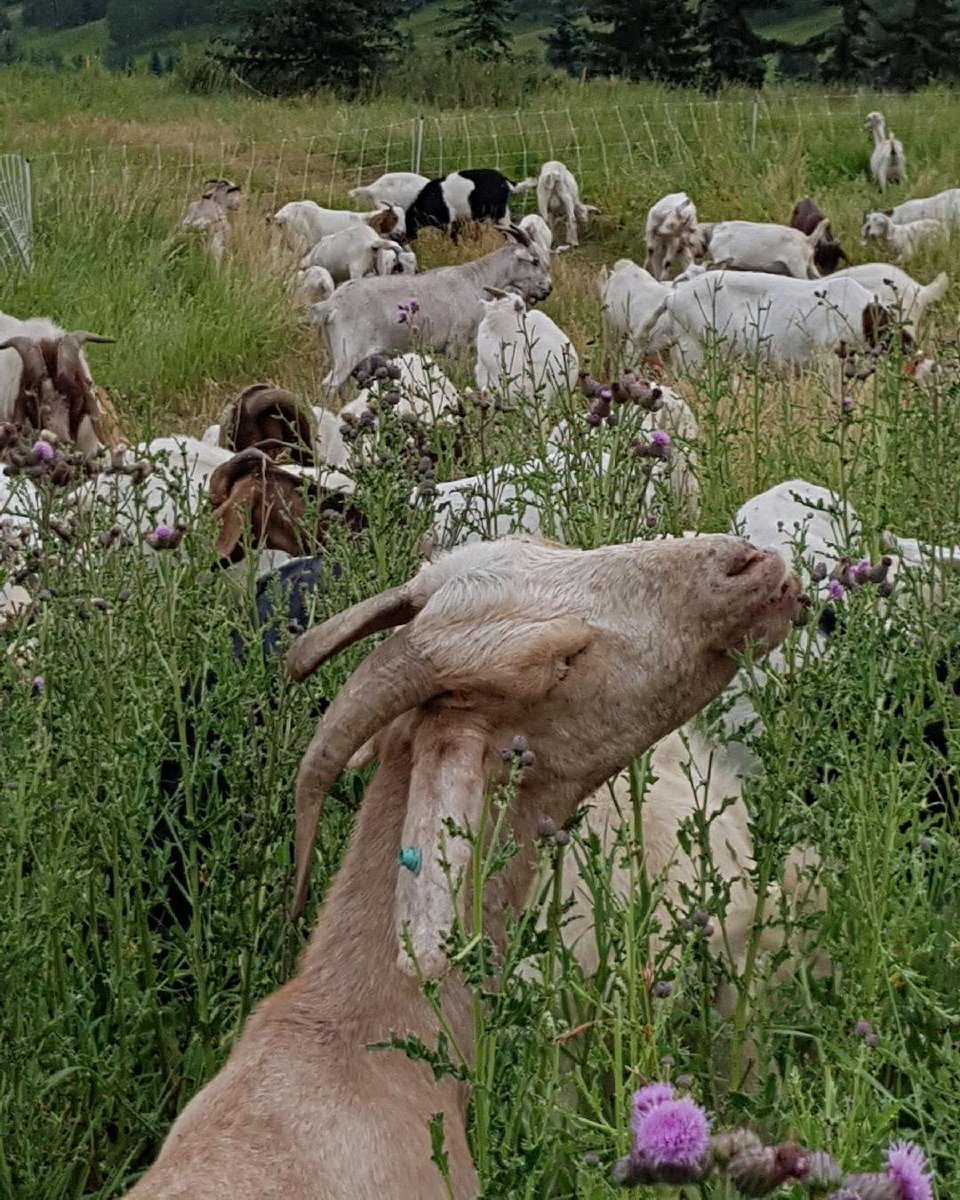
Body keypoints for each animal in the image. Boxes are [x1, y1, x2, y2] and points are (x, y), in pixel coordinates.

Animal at [309, 225, 551, 392]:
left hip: (336, 350)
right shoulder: (456, 343)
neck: (475, 280)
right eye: (535, 261)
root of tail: (331, 304)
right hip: (348, 350)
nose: (548, 289)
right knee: (328, 385)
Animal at [405, 169, 536, 240]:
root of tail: (505, 182)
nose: (404, 239)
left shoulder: (447, 222)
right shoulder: (457, 221)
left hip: (498, 215)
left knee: (513, 232)